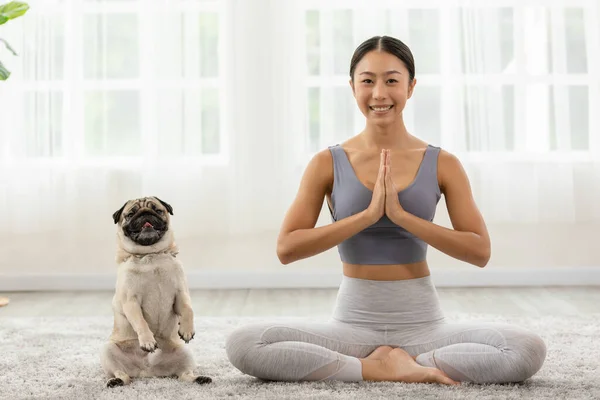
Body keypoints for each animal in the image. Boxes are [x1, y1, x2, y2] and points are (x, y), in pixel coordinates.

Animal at [102, 197, 213, 388]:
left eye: (158, 210)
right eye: (130, 214)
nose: (145, 213)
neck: (151, 255)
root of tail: (147, 371)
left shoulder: (180, 293)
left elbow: (188, 309)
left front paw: (186, 330)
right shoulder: (130, 301)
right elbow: (140, 322)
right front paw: (148, 341)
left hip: (186, 353)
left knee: (184, 375)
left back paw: (200, 379)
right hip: (108, 351)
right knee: (122, 374)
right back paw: (116, 381)